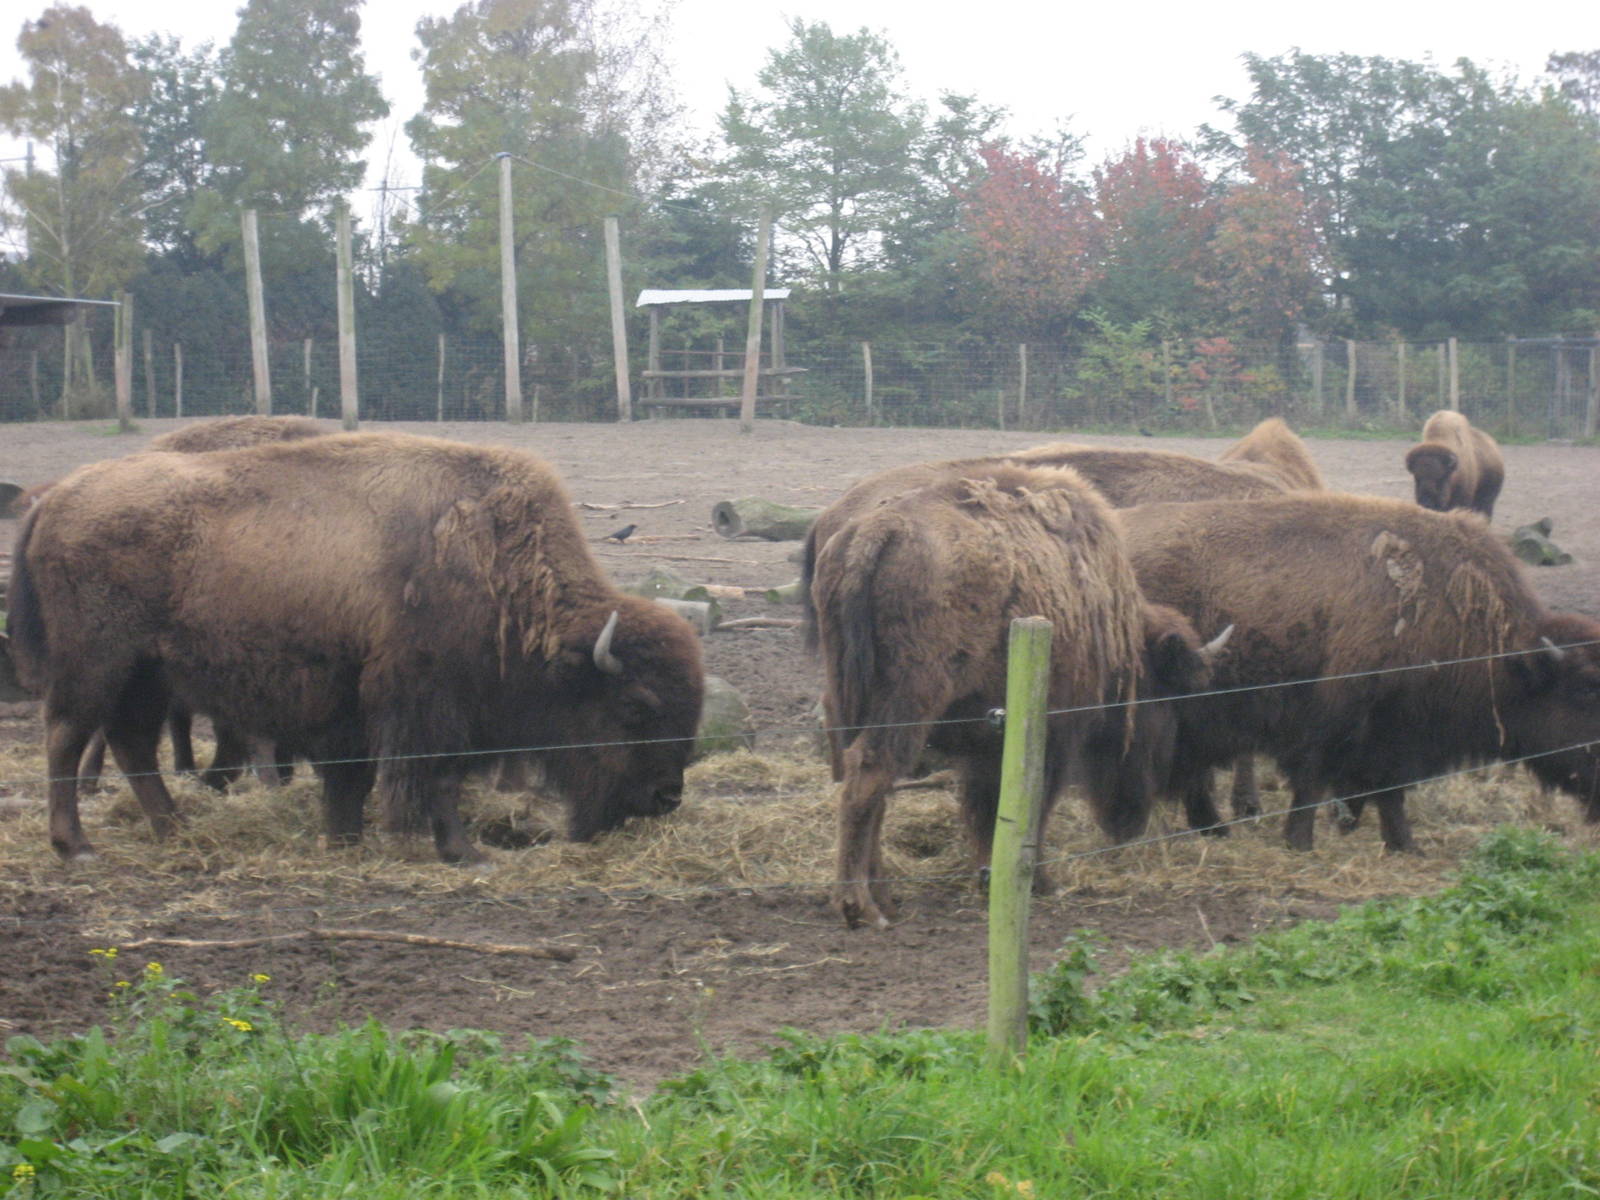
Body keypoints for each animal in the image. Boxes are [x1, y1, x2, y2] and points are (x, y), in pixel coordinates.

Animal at [9, 432, 705, 862]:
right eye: (635, 708)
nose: (666, 798)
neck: (494, 562)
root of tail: (58, 496)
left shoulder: (357, 706)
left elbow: (351, 779)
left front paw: (344, 840)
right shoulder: (427, 704)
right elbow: (435, 779)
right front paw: (464, 853)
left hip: (151, 674)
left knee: (131, 743)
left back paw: (174, 827)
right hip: (98, 663)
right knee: (67, 736)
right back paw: (76, 846)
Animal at [1114, 494, 1600, 851]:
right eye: (1585, 691)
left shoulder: (1396, 735)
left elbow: (1388, 792)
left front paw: (1404, 845)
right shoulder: (1337, 719)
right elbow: (1314, 781)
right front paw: (1300, 842)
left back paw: (1213, 829)